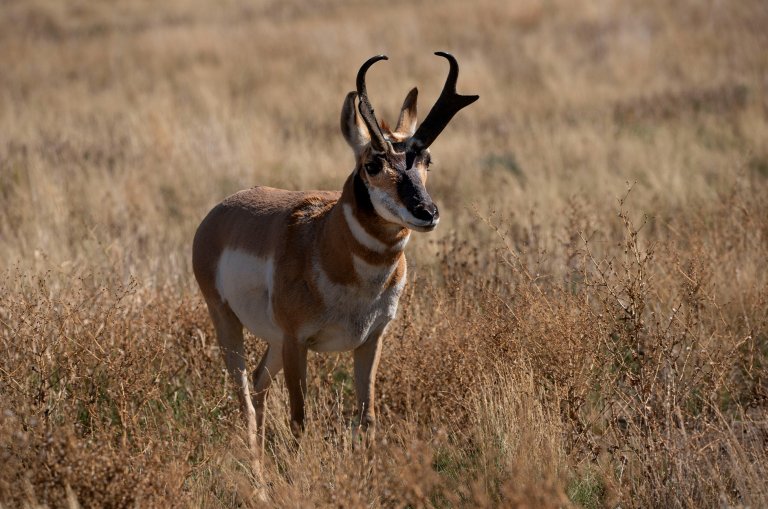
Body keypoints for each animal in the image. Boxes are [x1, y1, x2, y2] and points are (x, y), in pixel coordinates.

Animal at [192, 52, 478, 447]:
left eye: (426, 161)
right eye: (372, 164)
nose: (427, 212)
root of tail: (219, 213)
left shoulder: (370, 341)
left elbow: (367, 416)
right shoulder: (298, 342)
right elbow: (299, 420)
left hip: (274, 342)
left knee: (259, 383)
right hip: (229, 326)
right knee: (245, 398)